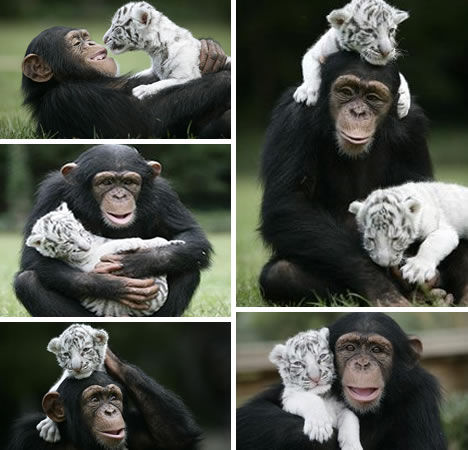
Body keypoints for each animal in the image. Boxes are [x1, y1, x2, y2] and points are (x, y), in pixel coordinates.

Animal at [6, 350, 201, 448]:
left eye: (113, 397)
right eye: (94, 399)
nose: (110, 411)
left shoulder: (135, 428)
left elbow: (176, 439)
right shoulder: (27, 437)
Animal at [13, 144, 212, 316]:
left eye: (129, 182)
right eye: (106, 182)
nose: (119, 195)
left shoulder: (164, 194)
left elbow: (192, 236)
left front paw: (136, 262)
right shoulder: (52, 192)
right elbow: (33, 258)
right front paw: (111, 284)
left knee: (188, 265)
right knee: (27, 280)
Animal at [22, 27, 230, 138]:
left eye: (86, 37)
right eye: (76, 43)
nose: (91, 43)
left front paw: (210, 50)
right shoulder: (69, 99)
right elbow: (145, 124)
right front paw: (227, 78)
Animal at [238, 312, 446, 450]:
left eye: (376, 350)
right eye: (350, 348)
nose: (362, 363)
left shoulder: (421, 396)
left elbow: (349, 417)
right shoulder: (288, 393)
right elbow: (251, 414)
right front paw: (320, 430)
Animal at [260, 51, 468, 306]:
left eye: (372, 98)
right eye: (347, 92)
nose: (358, 112)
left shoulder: (413, 127)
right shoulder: (293, 119)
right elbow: (289, 202)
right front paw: (381, 288)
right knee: (281, 273)